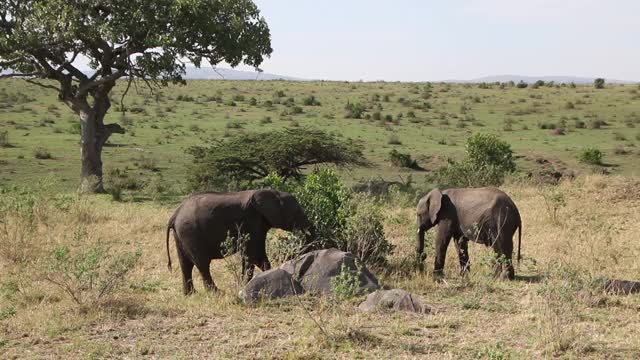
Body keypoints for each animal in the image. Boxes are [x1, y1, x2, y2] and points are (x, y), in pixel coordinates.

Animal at [166, 190, 314, 294]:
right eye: (297, 212)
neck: (275, 193)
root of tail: (175, 214)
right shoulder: (251, 222)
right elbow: (250, 255)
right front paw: (243, 286)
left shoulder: (259, 225)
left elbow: (259, 257)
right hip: (191, 233)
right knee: (202, 264)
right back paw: (217, 293)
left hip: (181, 234)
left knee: (185, 264)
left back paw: (190, 294)